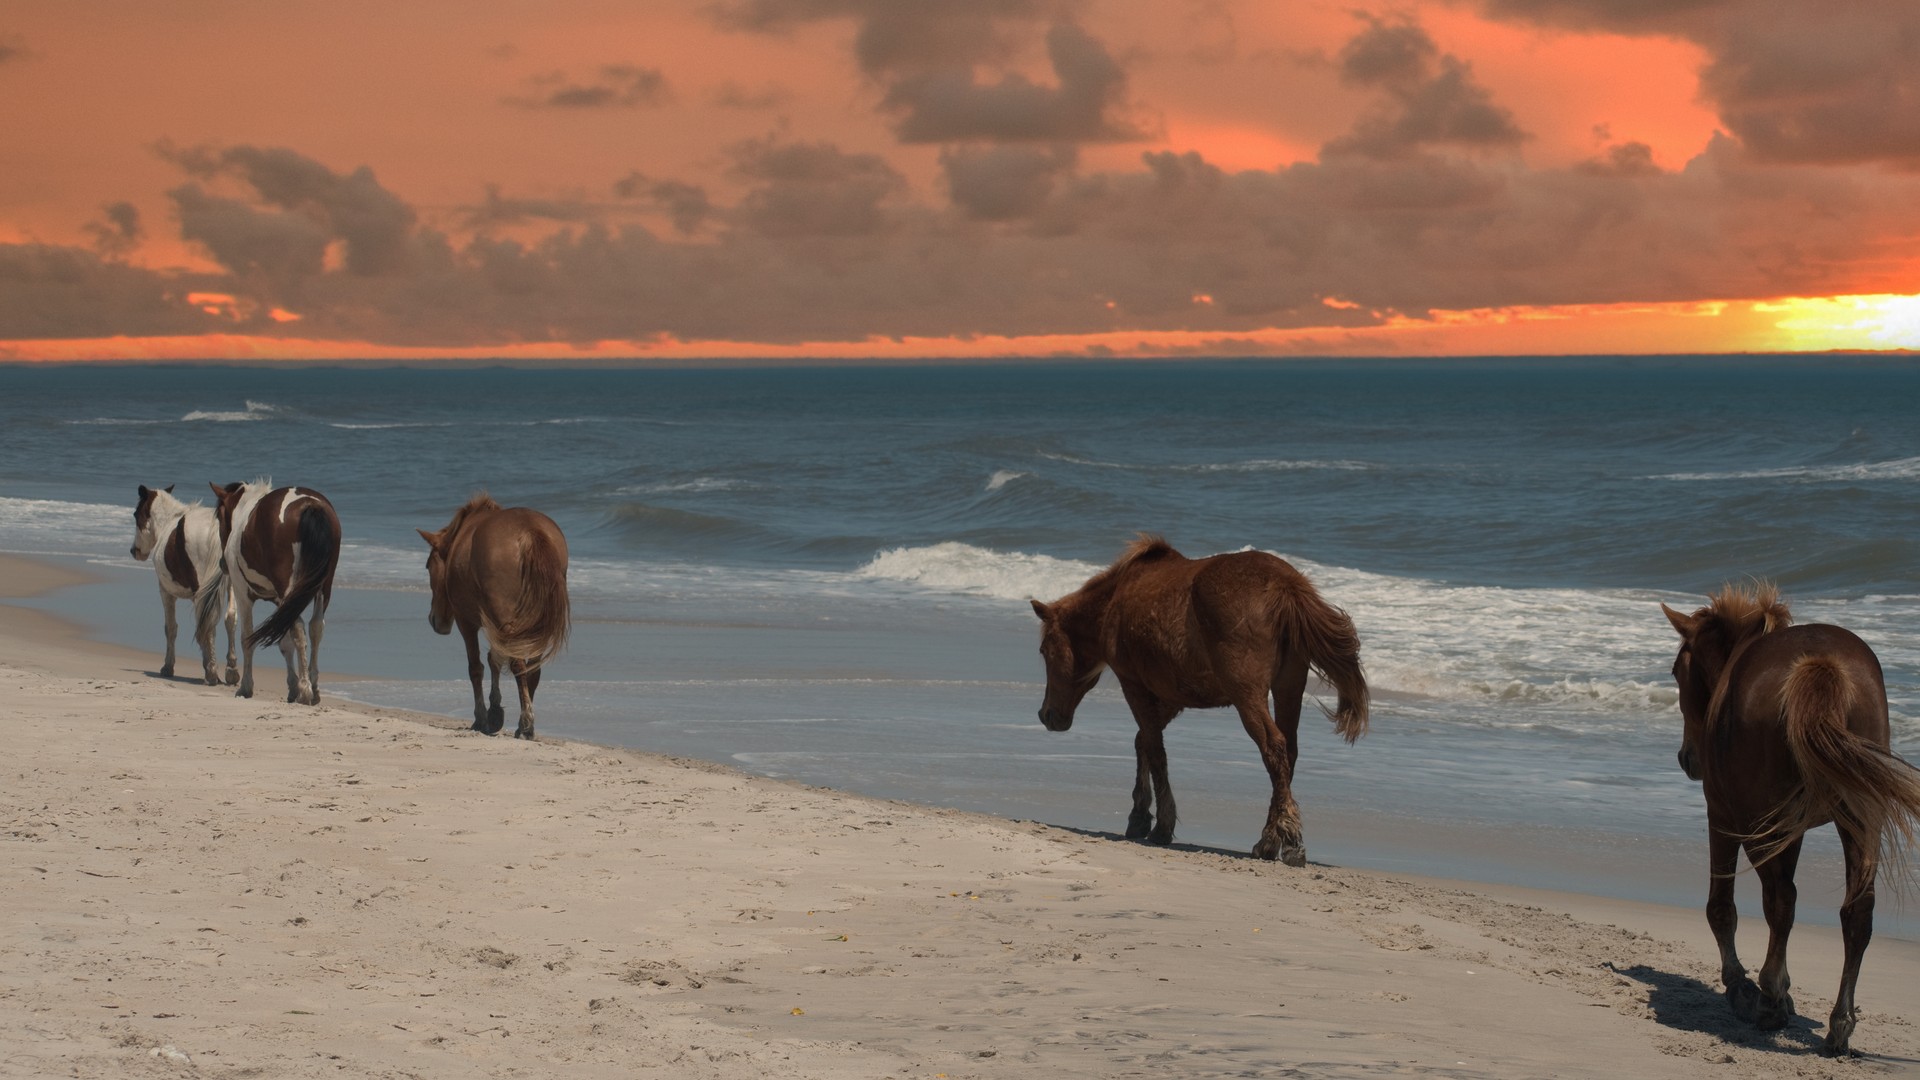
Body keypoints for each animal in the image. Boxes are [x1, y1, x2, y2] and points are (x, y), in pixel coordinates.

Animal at [127, 480, 238, 680]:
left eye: (136, 514)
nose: (134, 551)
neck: (167, 522)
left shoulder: (166, 592)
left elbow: (171, 628)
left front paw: (168, 666)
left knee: (211, 623)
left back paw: (212, 672)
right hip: (232, 585)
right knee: (230, 618)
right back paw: (231, 670)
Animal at [212, 478, 343, 707]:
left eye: (219, 516)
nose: (223, 564)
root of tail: (310, 505)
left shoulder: (243, 593)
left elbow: (247, 637)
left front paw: (246, 686)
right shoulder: (280, 602)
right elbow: (285, 642)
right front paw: (292, 686)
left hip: (290, 590)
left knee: (299, 628)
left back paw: (306, 690)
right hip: (321, 589)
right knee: (316, 627)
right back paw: (313, 688)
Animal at [420, 495, 568, 737]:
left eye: (428, 565)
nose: (435, 621)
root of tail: (530, 532)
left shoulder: (467, 621)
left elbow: (477, 667)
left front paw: (482, 717)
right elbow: (495, 660)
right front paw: (495, 711)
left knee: (518, 665)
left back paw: (526, 723)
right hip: (535, 622)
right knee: (532, 668)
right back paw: (523, 723)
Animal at [1029, 538, 1374, 864]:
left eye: (1044, 650)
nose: (1047, 715)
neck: (1116, 601)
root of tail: (1284, 585)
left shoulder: (1135, 686)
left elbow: (1154, 749)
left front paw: (1160, 826)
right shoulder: (1173, 697)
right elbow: (1144, 743)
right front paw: (1140, 816)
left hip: (1248, 695)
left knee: (1273, 747)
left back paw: (1282, 842)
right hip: (1288, 687)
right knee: (1288, 750)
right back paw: (1273, 839)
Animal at [1658, 580, 1920, 1053]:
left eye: (1676, 671)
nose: (1688, 759)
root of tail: (1820, 665)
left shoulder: (1722, 816)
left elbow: (1722, 907)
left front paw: (1744, 986)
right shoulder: (1790, 830)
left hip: (1760, 826)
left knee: (1781, 901)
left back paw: (1768, 1001)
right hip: (1859, 819)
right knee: (1856, 911)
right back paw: (1839, 1024)